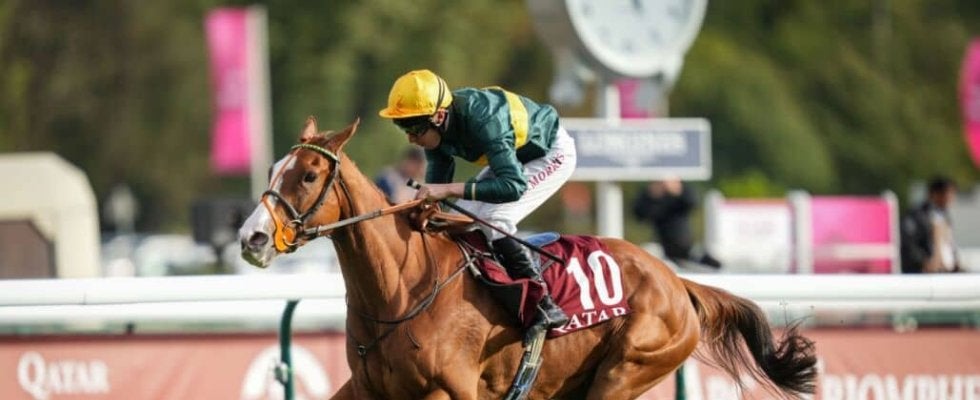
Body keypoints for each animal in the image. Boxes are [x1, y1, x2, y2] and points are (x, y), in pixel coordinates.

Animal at [238, 117, 817, 399]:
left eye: (309, 174)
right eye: (272, 168)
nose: (252, 238)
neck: (401, 289)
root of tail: (677, 282)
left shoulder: (447, 391)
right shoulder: (366, 388)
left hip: (628, 369)